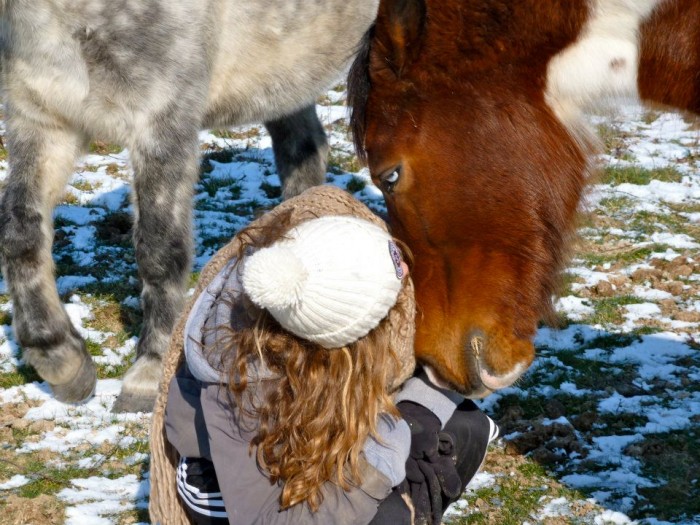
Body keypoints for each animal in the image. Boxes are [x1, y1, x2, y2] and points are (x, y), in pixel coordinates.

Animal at [0, 0, 378, 412]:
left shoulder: (163, 123)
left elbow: (160, 249)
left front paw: (149, 373)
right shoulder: (43, 120)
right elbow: (19, 233)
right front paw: (61, 359)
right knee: (305, 151)